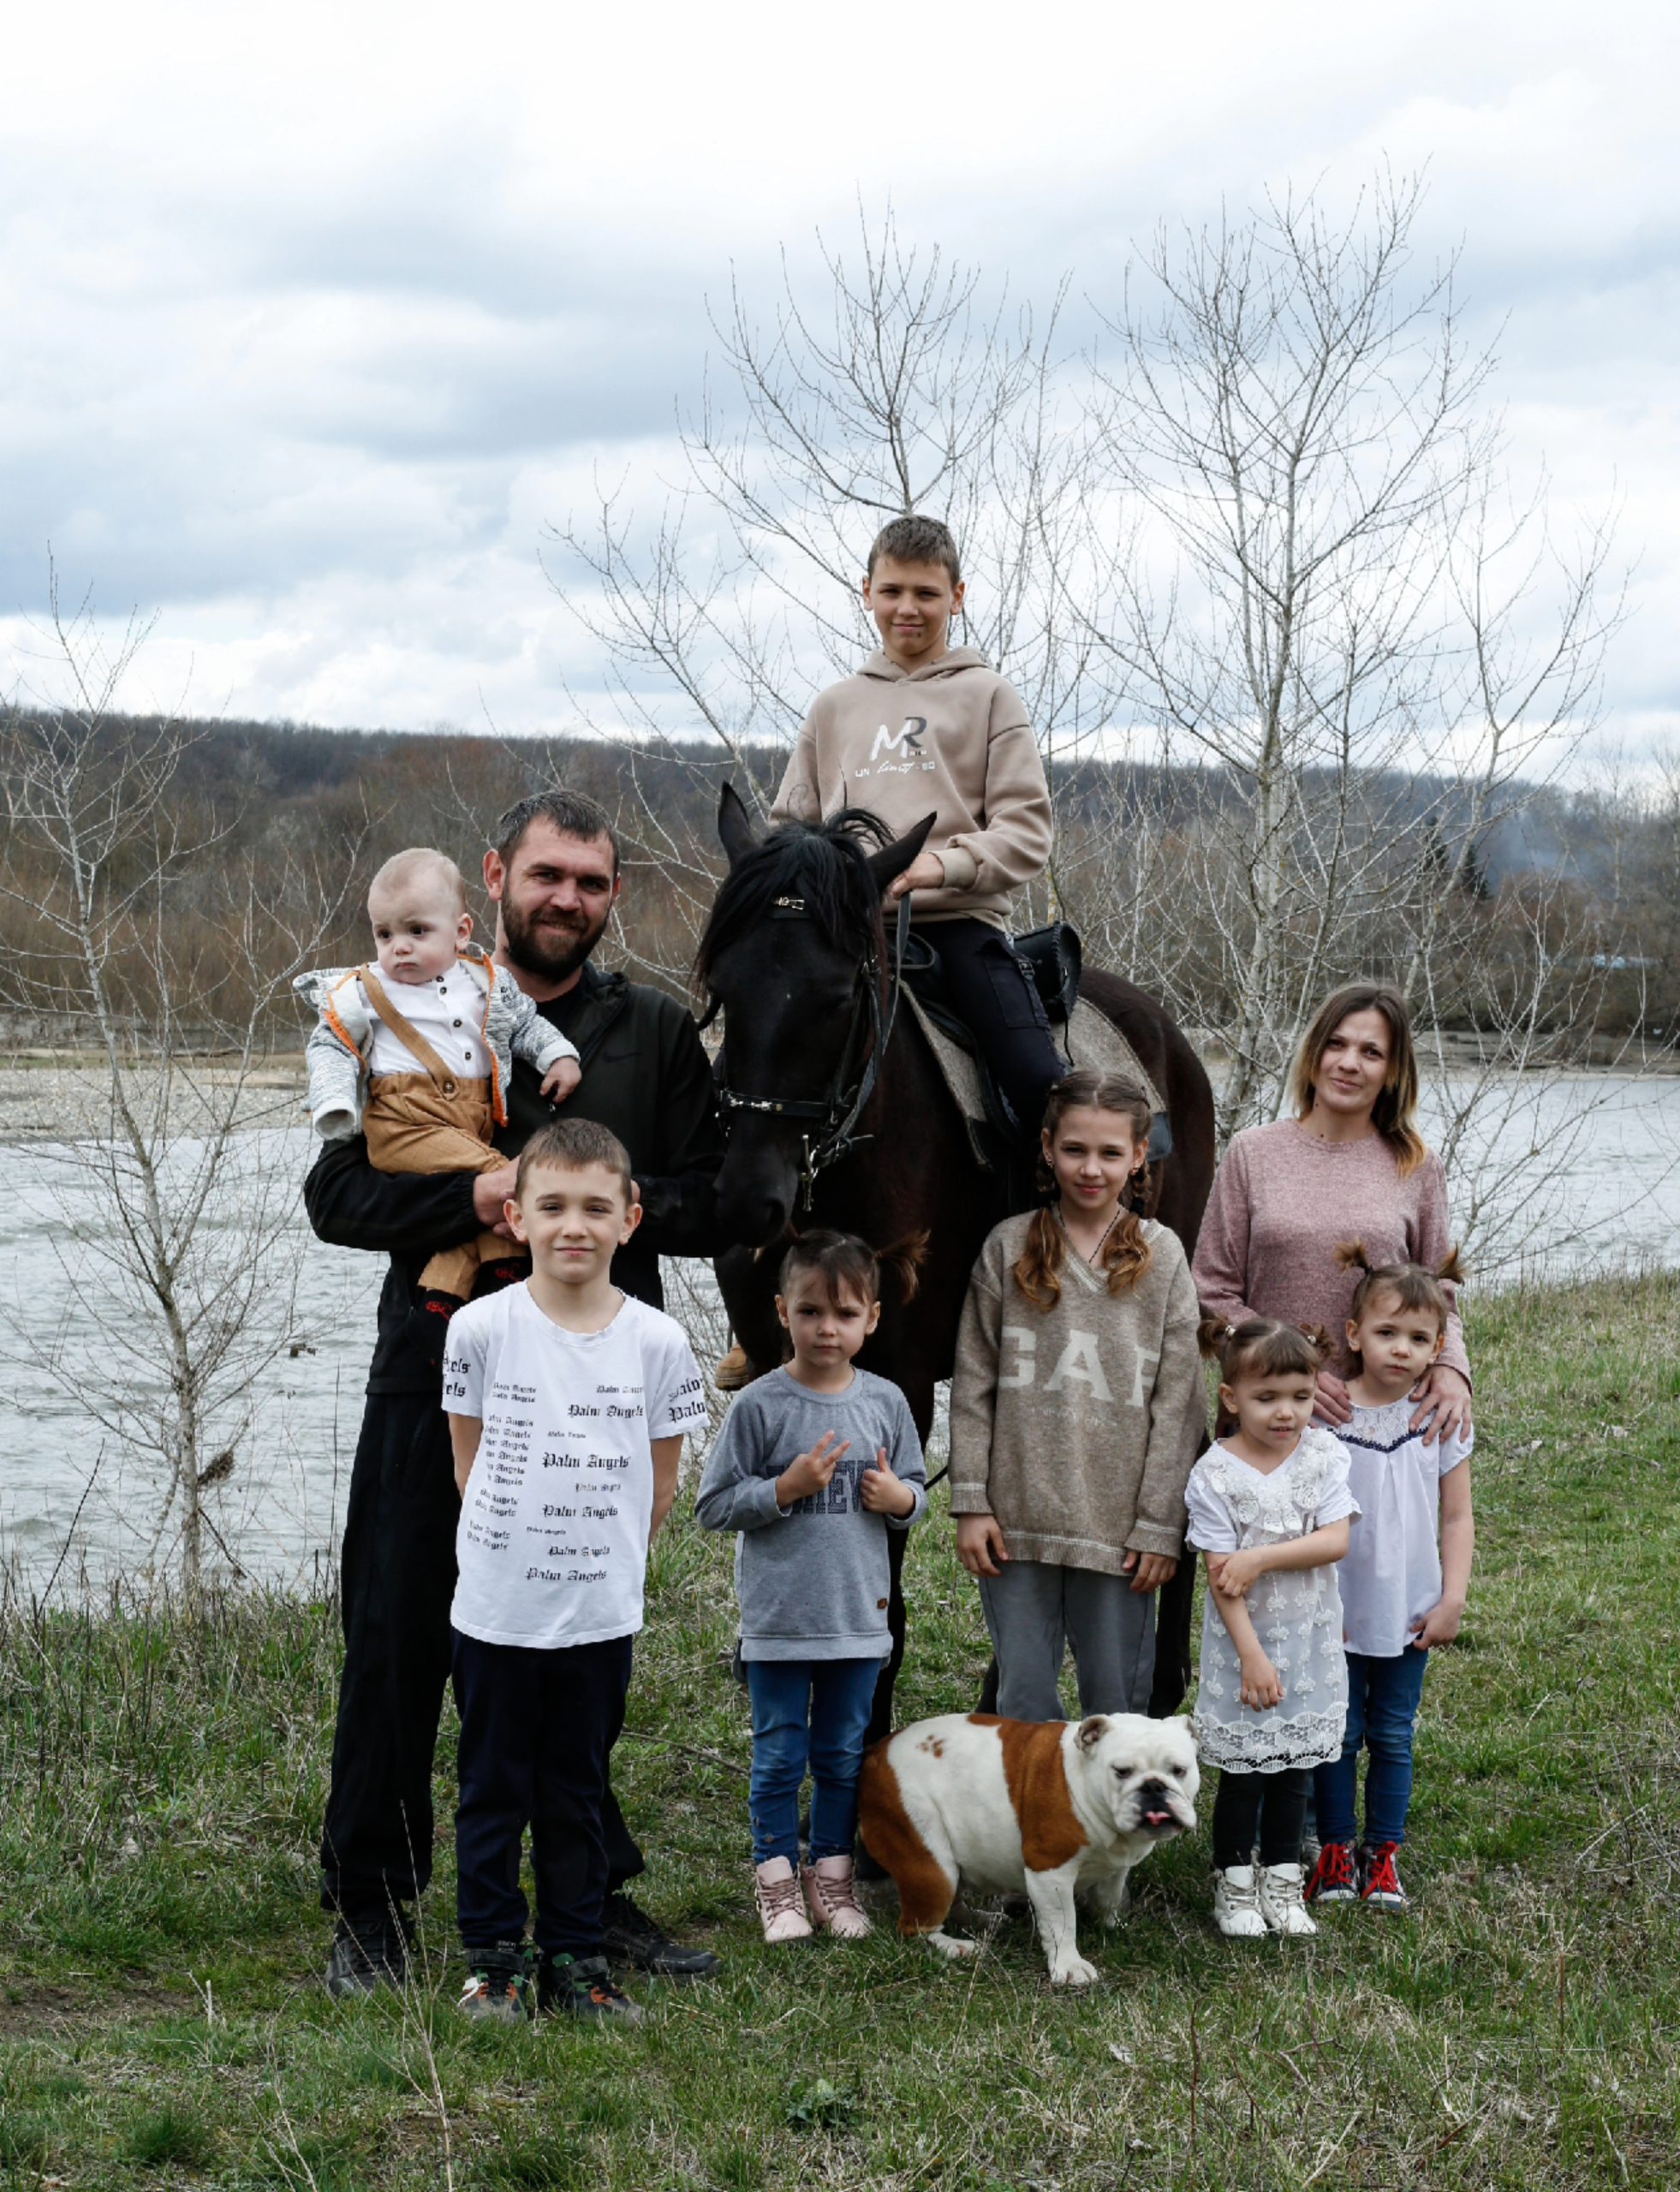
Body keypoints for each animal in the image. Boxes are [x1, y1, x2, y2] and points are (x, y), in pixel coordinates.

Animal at [693, 789, 1210, 1727]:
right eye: (723, 987)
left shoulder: (896, 1378)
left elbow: (886, 1585)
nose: (749, 1199)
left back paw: (1158, 1686)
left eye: (836, 996)